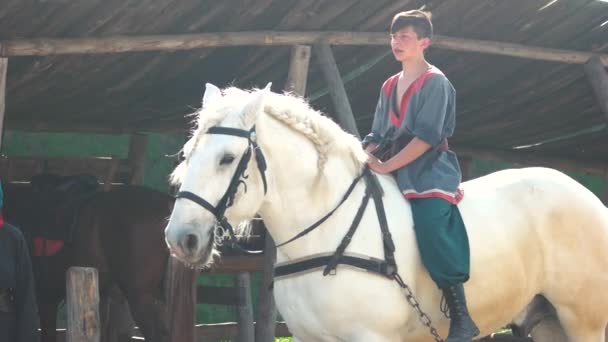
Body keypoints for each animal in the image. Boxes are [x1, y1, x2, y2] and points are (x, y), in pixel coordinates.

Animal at [164, 83, 608, 342]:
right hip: (548, 321)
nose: (181, 238)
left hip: (585, 322)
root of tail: (589, 199)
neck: (328, 233)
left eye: (227, 158)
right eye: (188, 155)